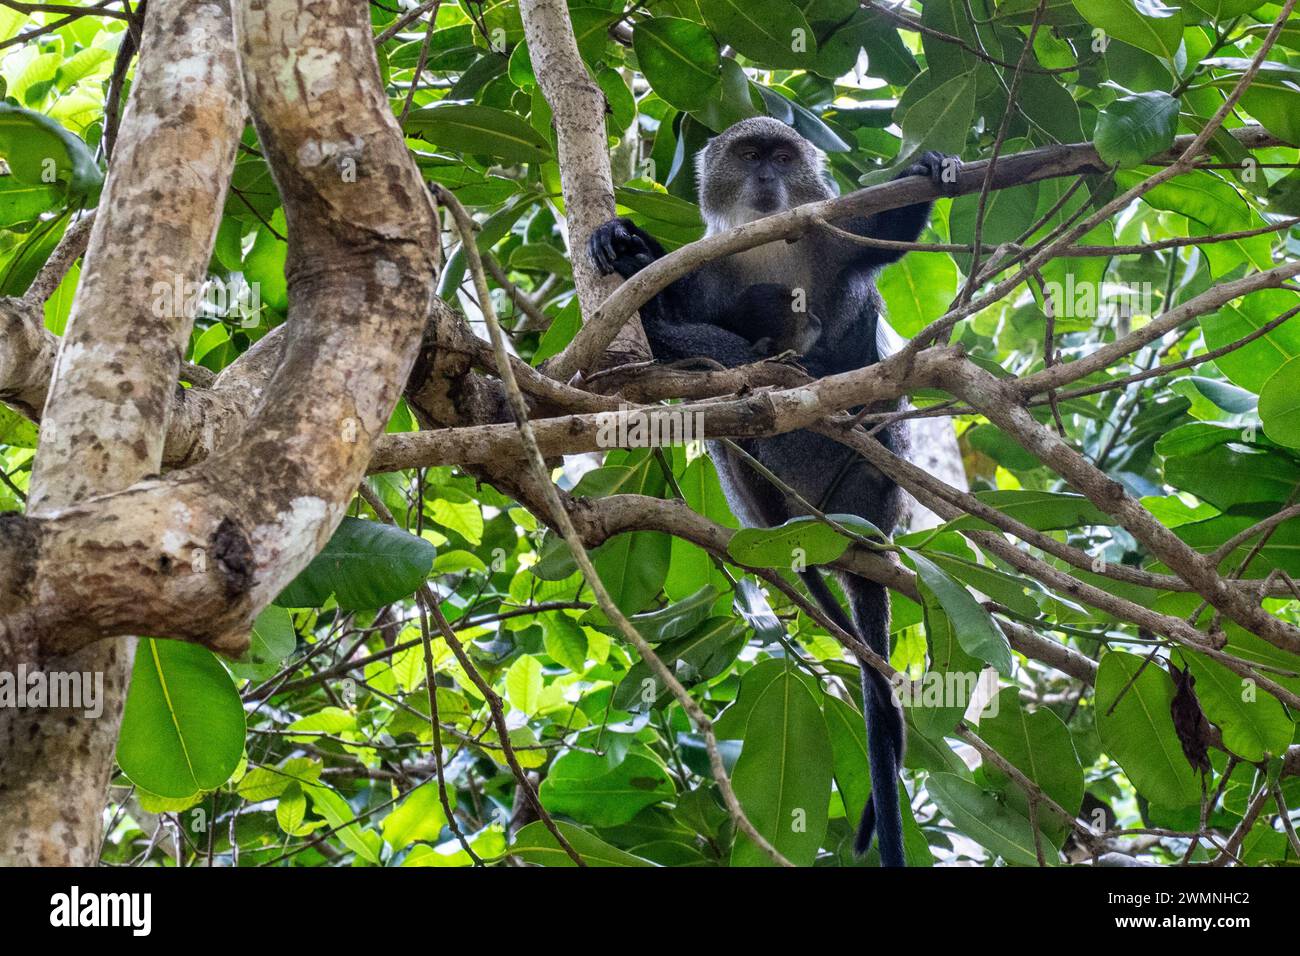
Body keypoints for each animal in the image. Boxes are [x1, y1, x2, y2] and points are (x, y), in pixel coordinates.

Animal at [590, 116, 958, 867]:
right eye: (750, 155)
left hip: (871, 485)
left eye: (784, 158)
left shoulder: (830, 239)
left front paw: (925, 169)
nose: (765, 178)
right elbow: (675, 307)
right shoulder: (710, 266)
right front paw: (626, 244)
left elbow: (884, 239)